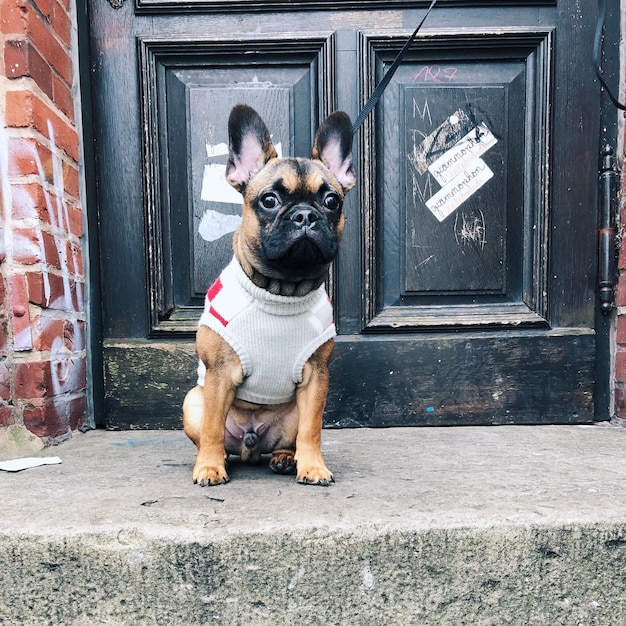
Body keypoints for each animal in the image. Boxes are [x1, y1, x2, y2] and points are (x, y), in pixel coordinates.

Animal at [183, 102, 354, 486]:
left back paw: (286, 459)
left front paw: (313, 466)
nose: (305, 215)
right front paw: (209, 467)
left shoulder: (316, 378)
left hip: (290, 414)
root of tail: (251, 444)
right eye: (270, 200)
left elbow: (312, 430)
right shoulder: (218, 374)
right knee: (214, 434)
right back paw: (218, 458)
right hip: (193, 401)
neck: (282, 290)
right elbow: (213, 428)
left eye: (331, 201)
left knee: (292, 437)